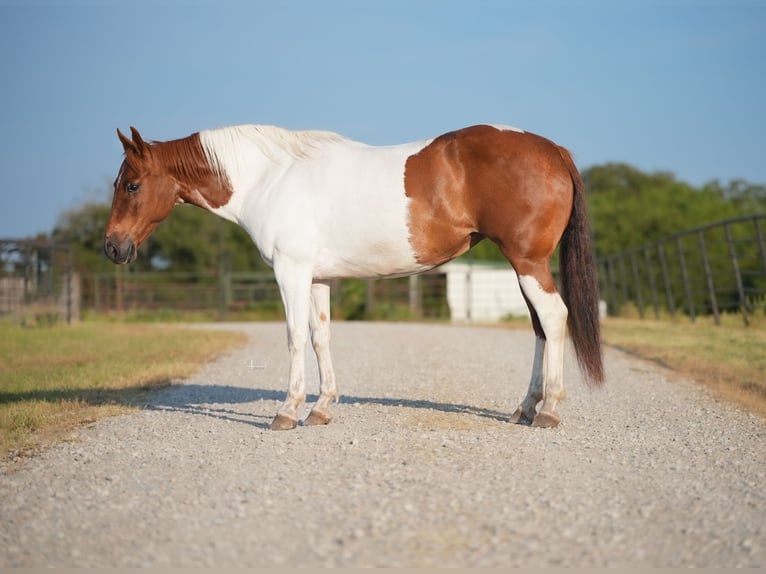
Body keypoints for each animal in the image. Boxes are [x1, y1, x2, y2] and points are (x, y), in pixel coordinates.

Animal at [103, 126, 608, 432]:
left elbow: (293, 337)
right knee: (540, 328)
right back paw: (526, 407)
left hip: (528, 263)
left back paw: (549, 410)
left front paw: (287, 411)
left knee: (554, 319)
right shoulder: (317, 277)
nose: (112, 247)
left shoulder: (290, 270)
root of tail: (551, 149)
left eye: (131, 184)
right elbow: (320, 337)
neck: (269, 178)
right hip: (525, 265)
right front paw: (321, 407)